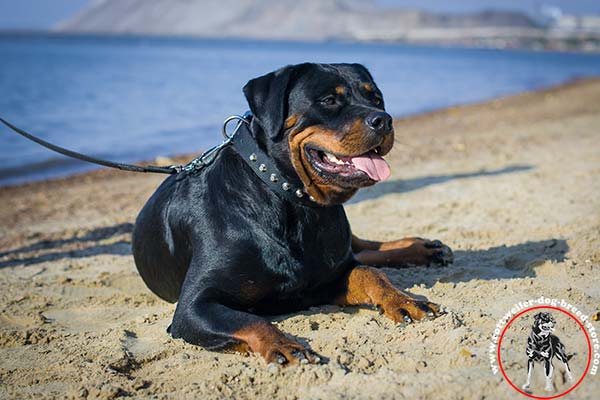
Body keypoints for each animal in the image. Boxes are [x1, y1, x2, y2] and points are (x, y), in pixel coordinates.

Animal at [131, 62, 450, 366]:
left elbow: (370, 273)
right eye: (329, 100)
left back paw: (422, 248)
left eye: (376, 98)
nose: (383, 119)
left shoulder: (326, 278)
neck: (292, 199)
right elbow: (249, 319)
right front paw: (282, 345)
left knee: (364, 249)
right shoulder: (193, 306)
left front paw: (405, 300)